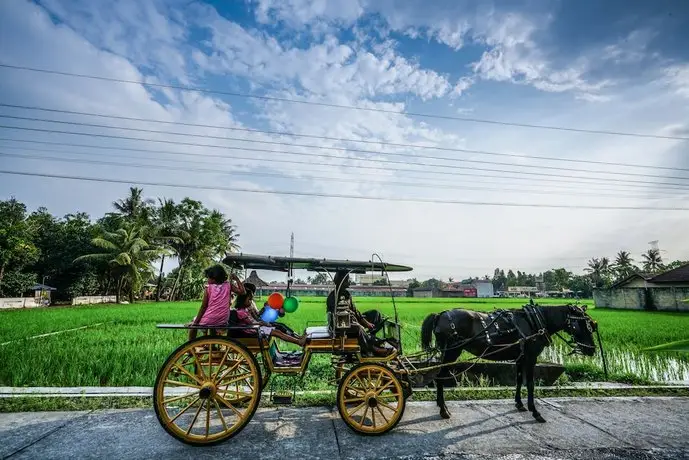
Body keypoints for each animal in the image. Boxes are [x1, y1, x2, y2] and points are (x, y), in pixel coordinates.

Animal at [420, 304, 596, 422]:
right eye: (584, 324)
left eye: (591, 325)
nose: (592, 350)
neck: (535, 321)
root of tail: (440, 315)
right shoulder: (531, 357)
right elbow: (530, 383)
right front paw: (535, 412)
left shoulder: (520, 358)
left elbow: (518, 380)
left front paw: (519, 404)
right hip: (452, 351)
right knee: (440, 377)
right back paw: (444, 410)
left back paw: (441, 406)